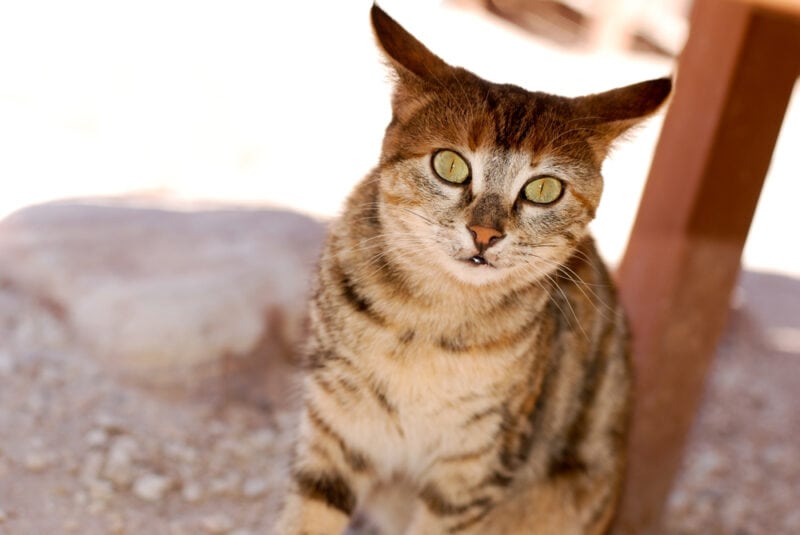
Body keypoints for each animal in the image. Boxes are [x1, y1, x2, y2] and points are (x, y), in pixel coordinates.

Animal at [274, 5, 668, 535]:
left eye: (544, 189)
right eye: (450, 165)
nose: (485, 234)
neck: (428, 322)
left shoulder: (472, 472)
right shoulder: (335, 426)